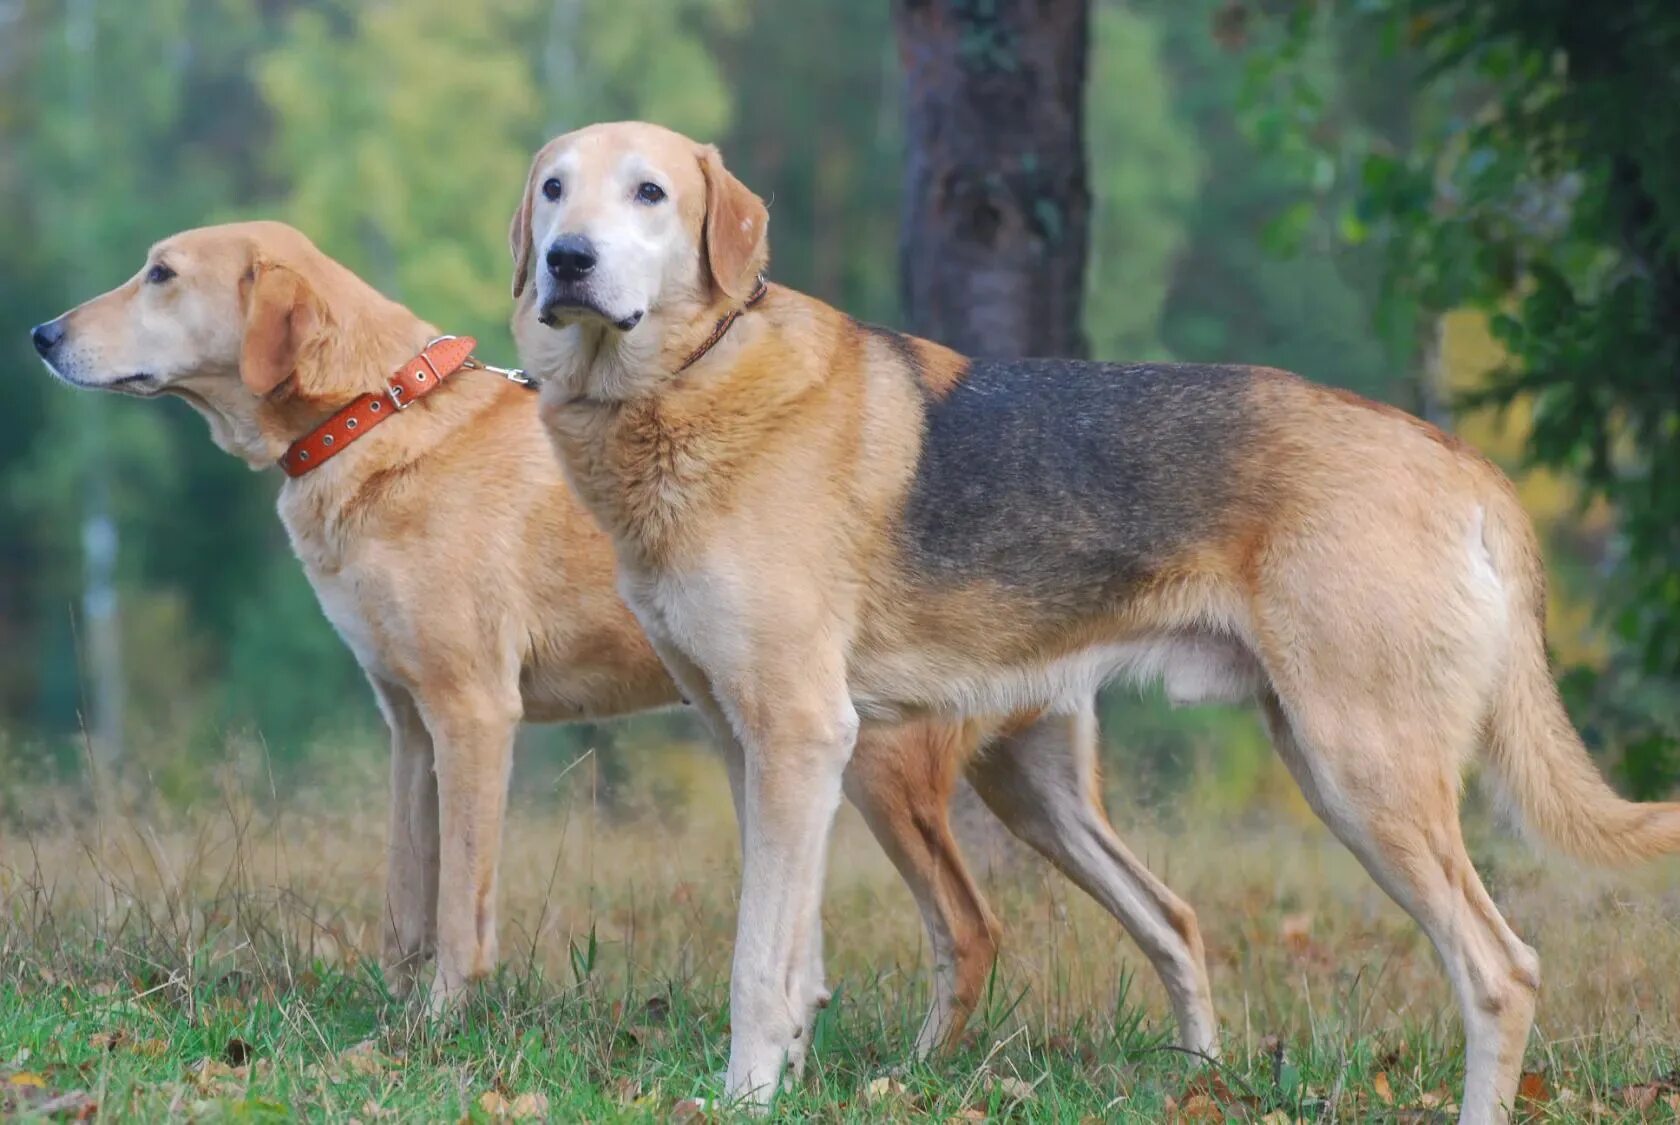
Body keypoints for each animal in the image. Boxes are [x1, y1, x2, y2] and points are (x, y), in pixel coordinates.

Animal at [29, 223, 1223, 1067]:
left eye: (160, 274)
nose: (40, 335)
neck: (373, 416)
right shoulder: (408, 725)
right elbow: (406, 902)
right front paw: (391, 1021)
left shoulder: (475, 714)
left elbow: (460, 908)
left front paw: (437, 1033)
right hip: (1034, 785)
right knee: (1170, 915)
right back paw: (1188, 1072)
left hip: (886, 768)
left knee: (972, 930)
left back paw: (915, 1076)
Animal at [510, 119, 1680, 1121]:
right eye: (555, 187)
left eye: (651, 192)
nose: (565, 260)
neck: (688, 383)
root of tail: (1464, 467)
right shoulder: (749, 744)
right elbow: (796, 959)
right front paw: (784, 1083)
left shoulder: (804, 739)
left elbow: (760, 964)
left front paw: (747, 1098)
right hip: (1122, 781)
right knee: (1182, 921)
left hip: (1364, 773)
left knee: (1500, 969)